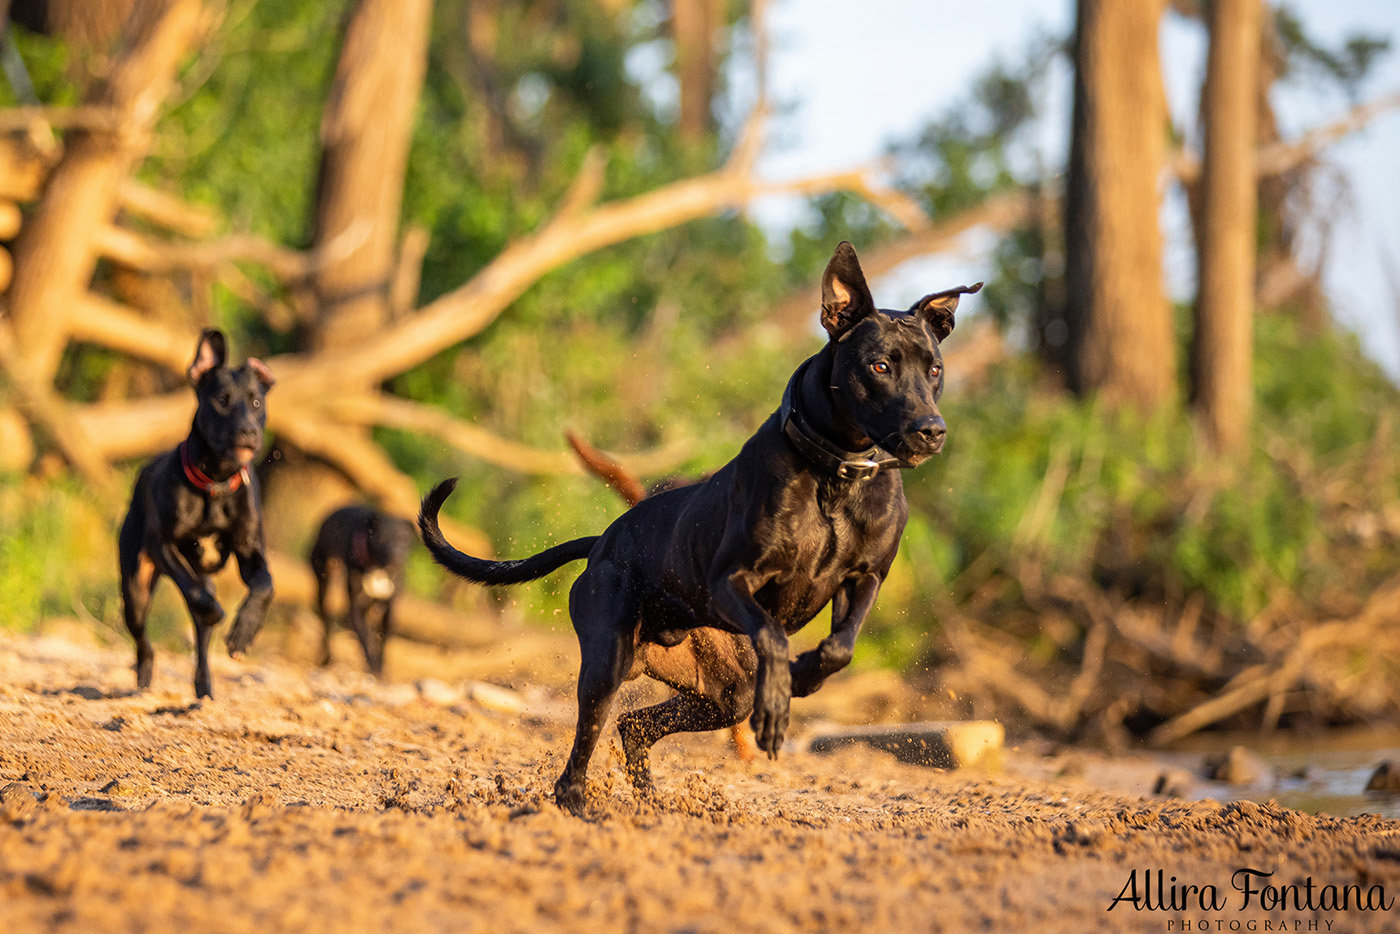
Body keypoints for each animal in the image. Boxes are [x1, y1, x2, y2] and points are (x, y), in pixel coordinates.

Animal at [119, 329, 277, 700]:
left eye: (256, 403)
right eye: (221, 400)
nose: (249, 432)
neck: (216, 483)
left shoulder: (251, 552)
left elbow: (265, 585)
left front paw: (244, 634)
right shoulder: (162, 544)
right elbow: (193, 590)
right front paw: (217, 611)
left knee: (201, 641)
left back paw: (204, 690)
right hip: (135, 586)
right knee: (145, 640)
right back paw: (144, 682)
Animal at [309, 506, 411, 674]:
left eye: (403, 538)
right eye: (382, 539)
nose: (396, 557)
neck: (377, 569)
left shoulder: (389, 607)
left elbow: (382, 640)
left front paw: (380, 668)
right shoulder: (355, 608)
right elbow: (365, 637)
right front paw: (373, 667)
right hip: (323, 581)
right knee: (326, 623)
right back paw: (326, 658)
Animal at [420, 243, 980, 812]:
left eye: (935, 368)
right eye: (880, 365)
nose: (932, 432)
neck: (836, 473)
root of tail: (601, 542)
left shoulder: (864, 579)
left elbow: (838, 648)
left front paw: (800, 678)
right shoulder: (731, 581)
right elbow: (773, 635)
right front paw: (778, 701)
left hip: (721, 695)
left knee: (635, 724)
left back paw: (653, 799)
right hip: (607, 663)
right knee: (588, 736)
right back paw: (576, 803)